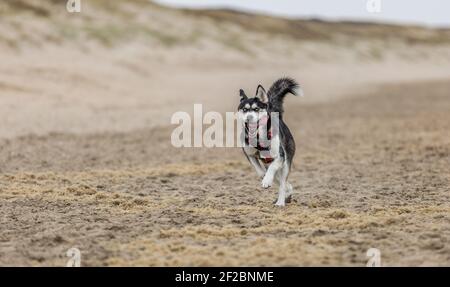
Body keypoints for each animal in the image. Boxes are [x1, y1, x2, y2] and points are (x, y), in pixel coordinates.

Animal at [237, 77, 300, 207]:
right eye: (245, 109)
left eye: (256, 109)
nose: (249, 117)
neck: (258, 137)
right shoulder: (250, 155)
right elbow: (261, 172)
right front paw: (265, 179)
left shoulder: (280, 157)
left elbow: (272, 168)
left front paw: (266, 181)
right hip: (269, 162)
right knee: (280, 180)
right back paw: (287, 191)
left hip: (286, 163)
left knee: (282, 182)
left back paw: (280, 201)